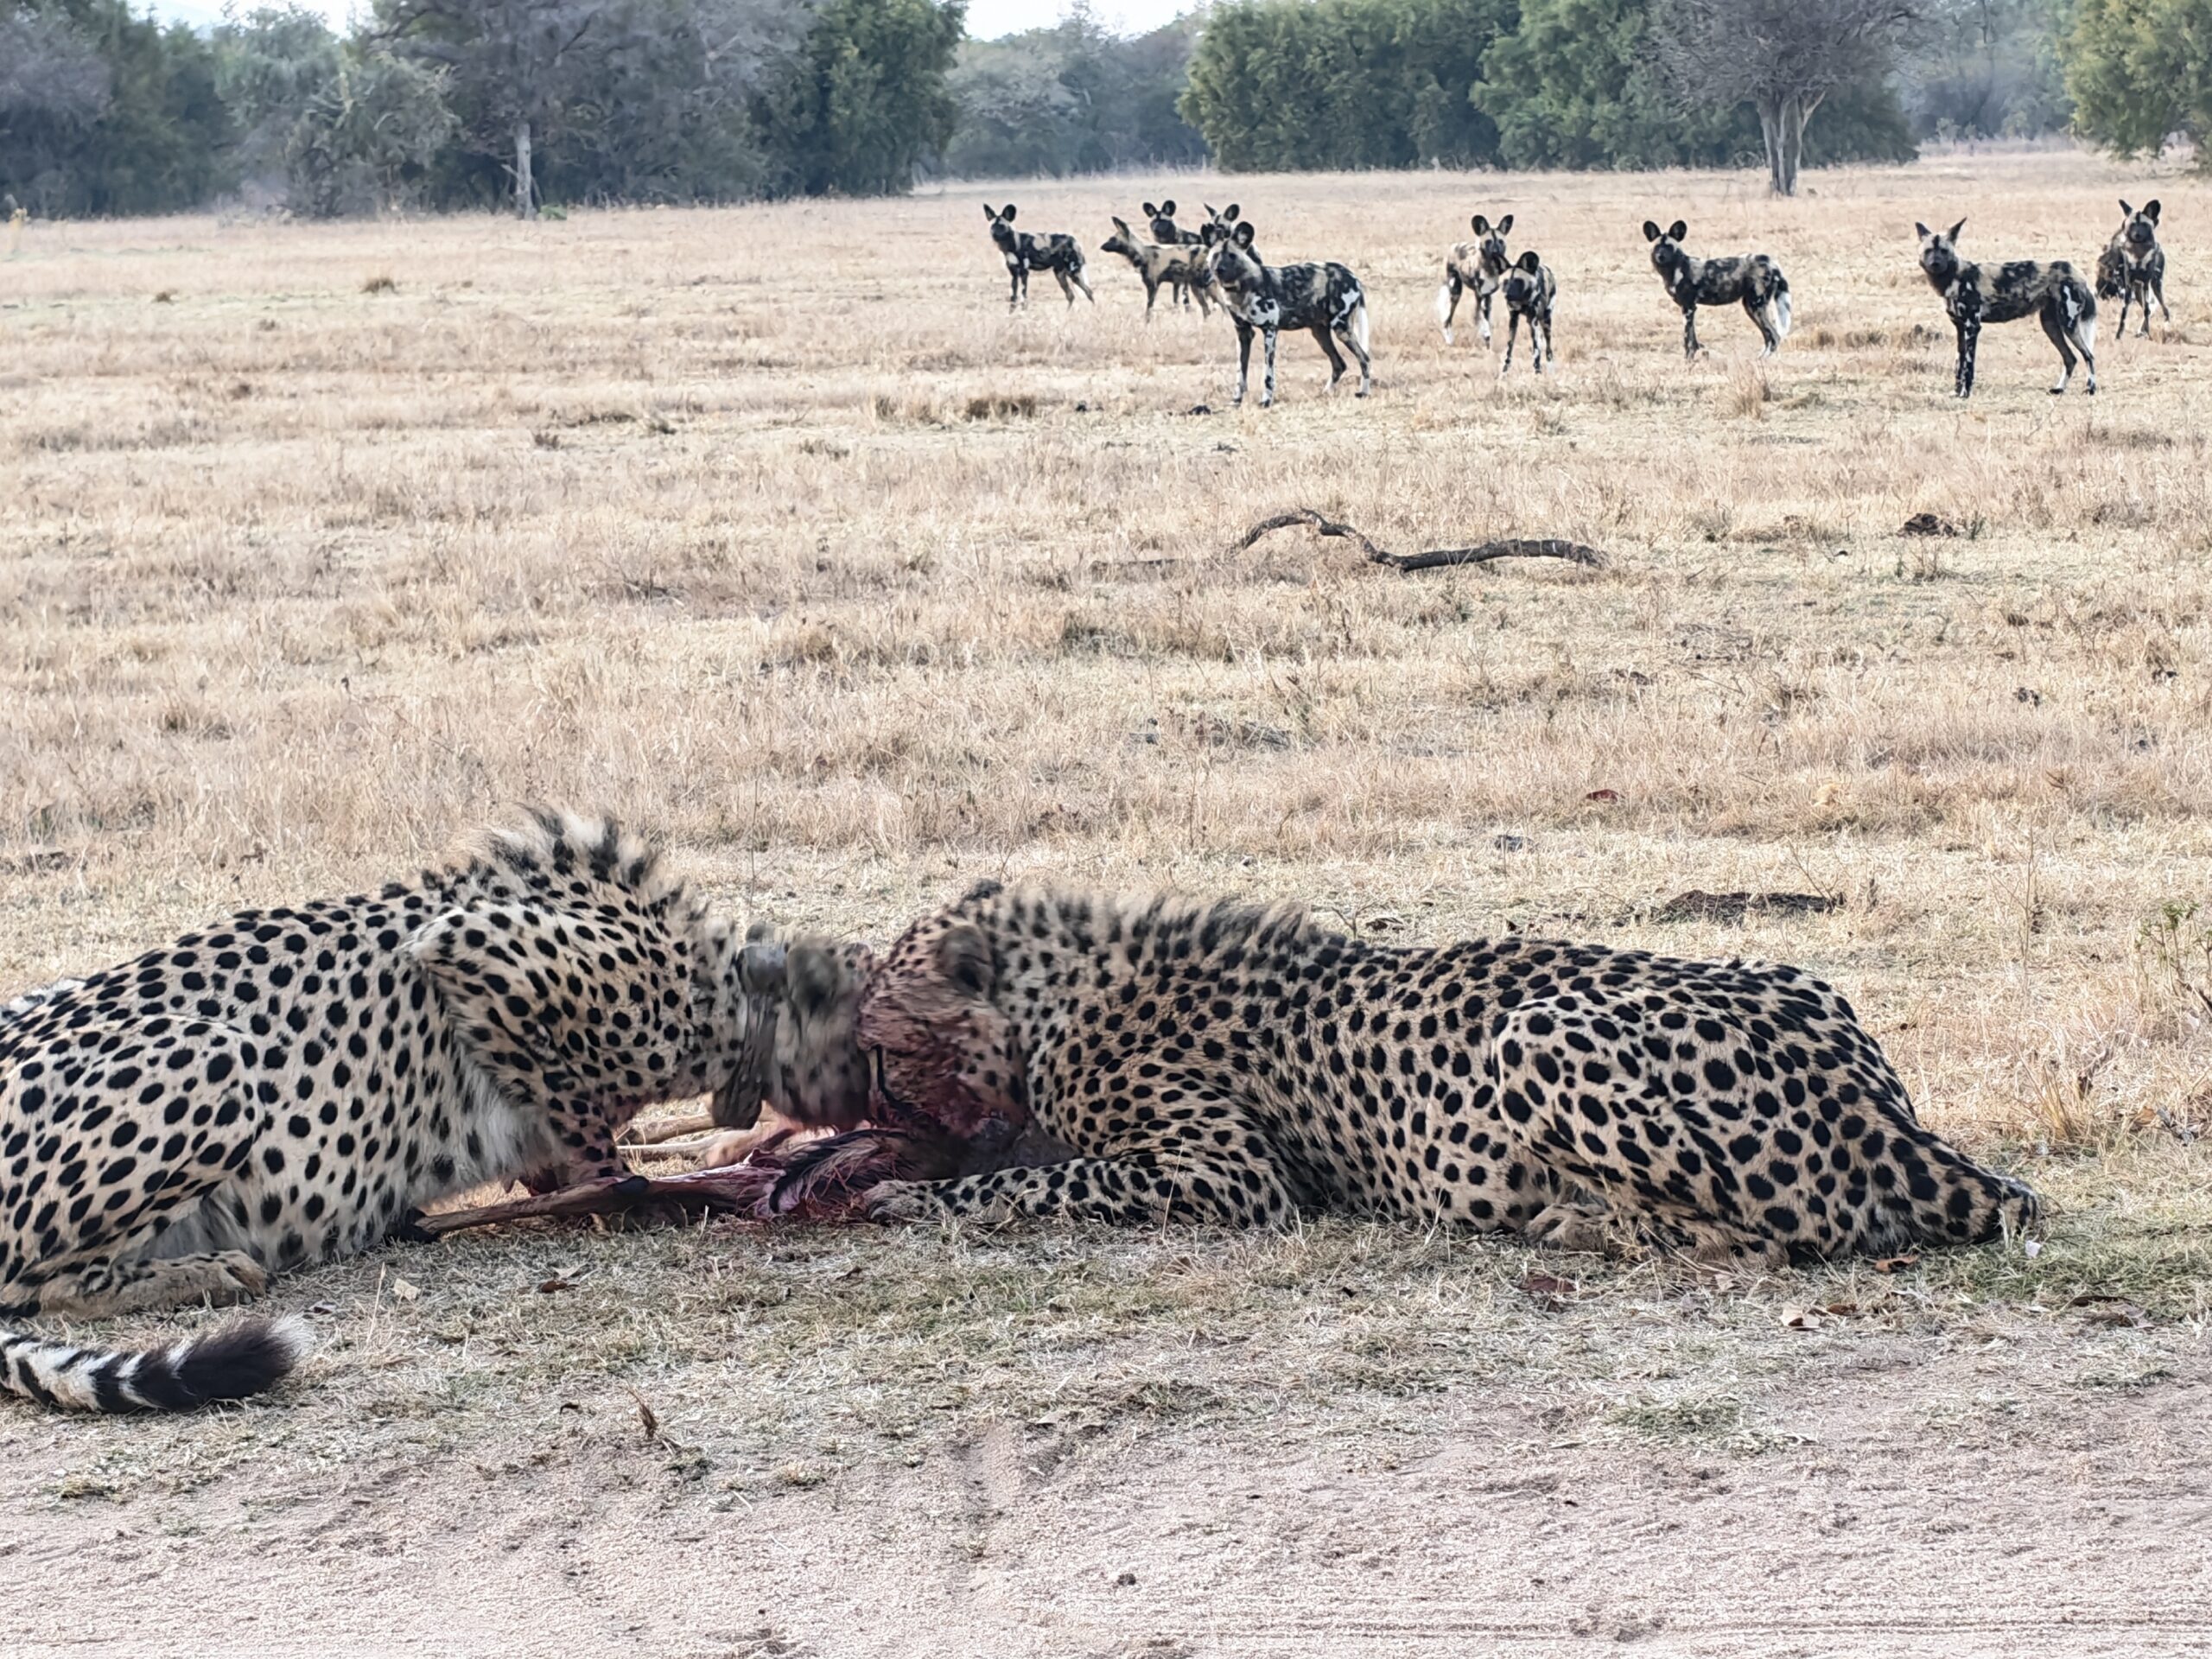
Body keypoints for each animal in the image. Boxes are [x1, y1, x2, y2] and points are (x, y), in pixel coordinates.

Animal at [0, 808, 853, 1412]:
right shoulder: (472, 948)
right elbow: (594, 1141)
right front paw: (631, 1184)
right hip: (217, 1061)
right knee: (37, 1285)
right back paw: (214, 1270)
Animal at [811, 883, 2038, 1264]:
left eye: (887, 1029)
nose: (861, 1095)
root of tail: (1889, 1119)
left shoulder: (1229, 1173)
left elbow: (1037, 1177)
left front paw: (908, 1195)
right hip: (1793, 969)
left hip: (1537, 1033)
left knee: (1784, 1238)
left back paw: (1581, 1220)